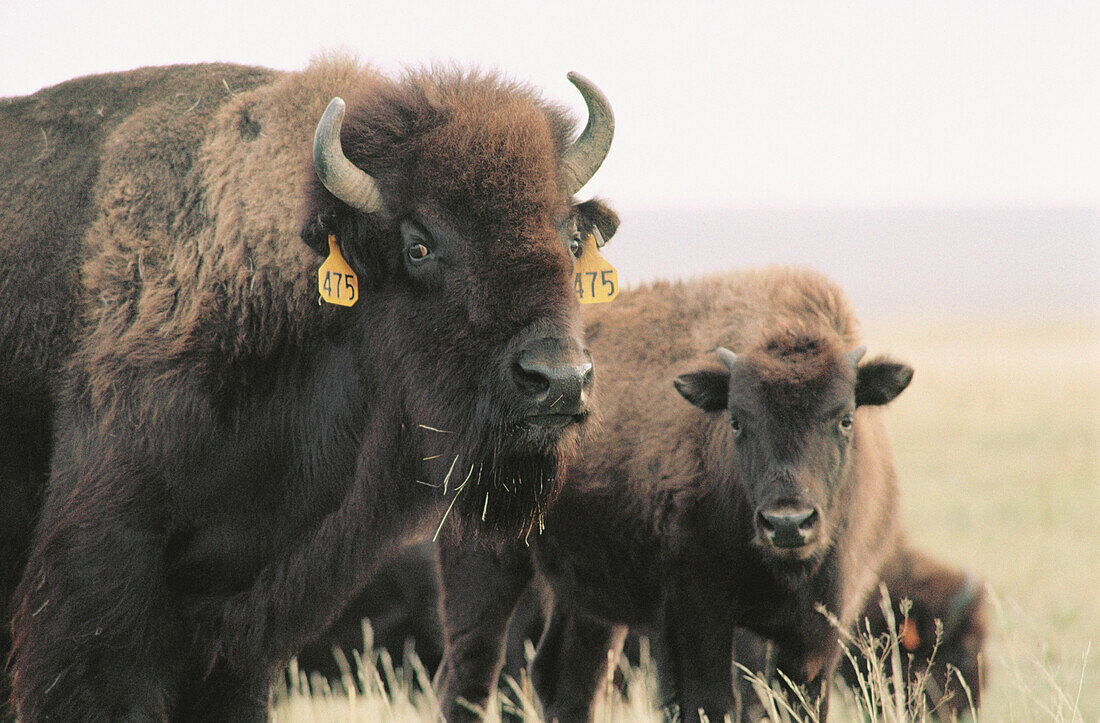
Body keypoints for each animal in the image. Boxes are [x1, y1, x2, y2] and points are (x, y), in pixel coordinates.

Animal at [435, 267, 910, 717]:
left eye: (845, 418)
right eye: (737, 420)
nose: (788, 523)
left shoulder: (817, 632)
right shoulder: (696, 614)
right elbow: (707, 700)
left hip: (588, 601)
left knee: (568, 679)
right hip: (481, 563)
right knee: (470, 671)